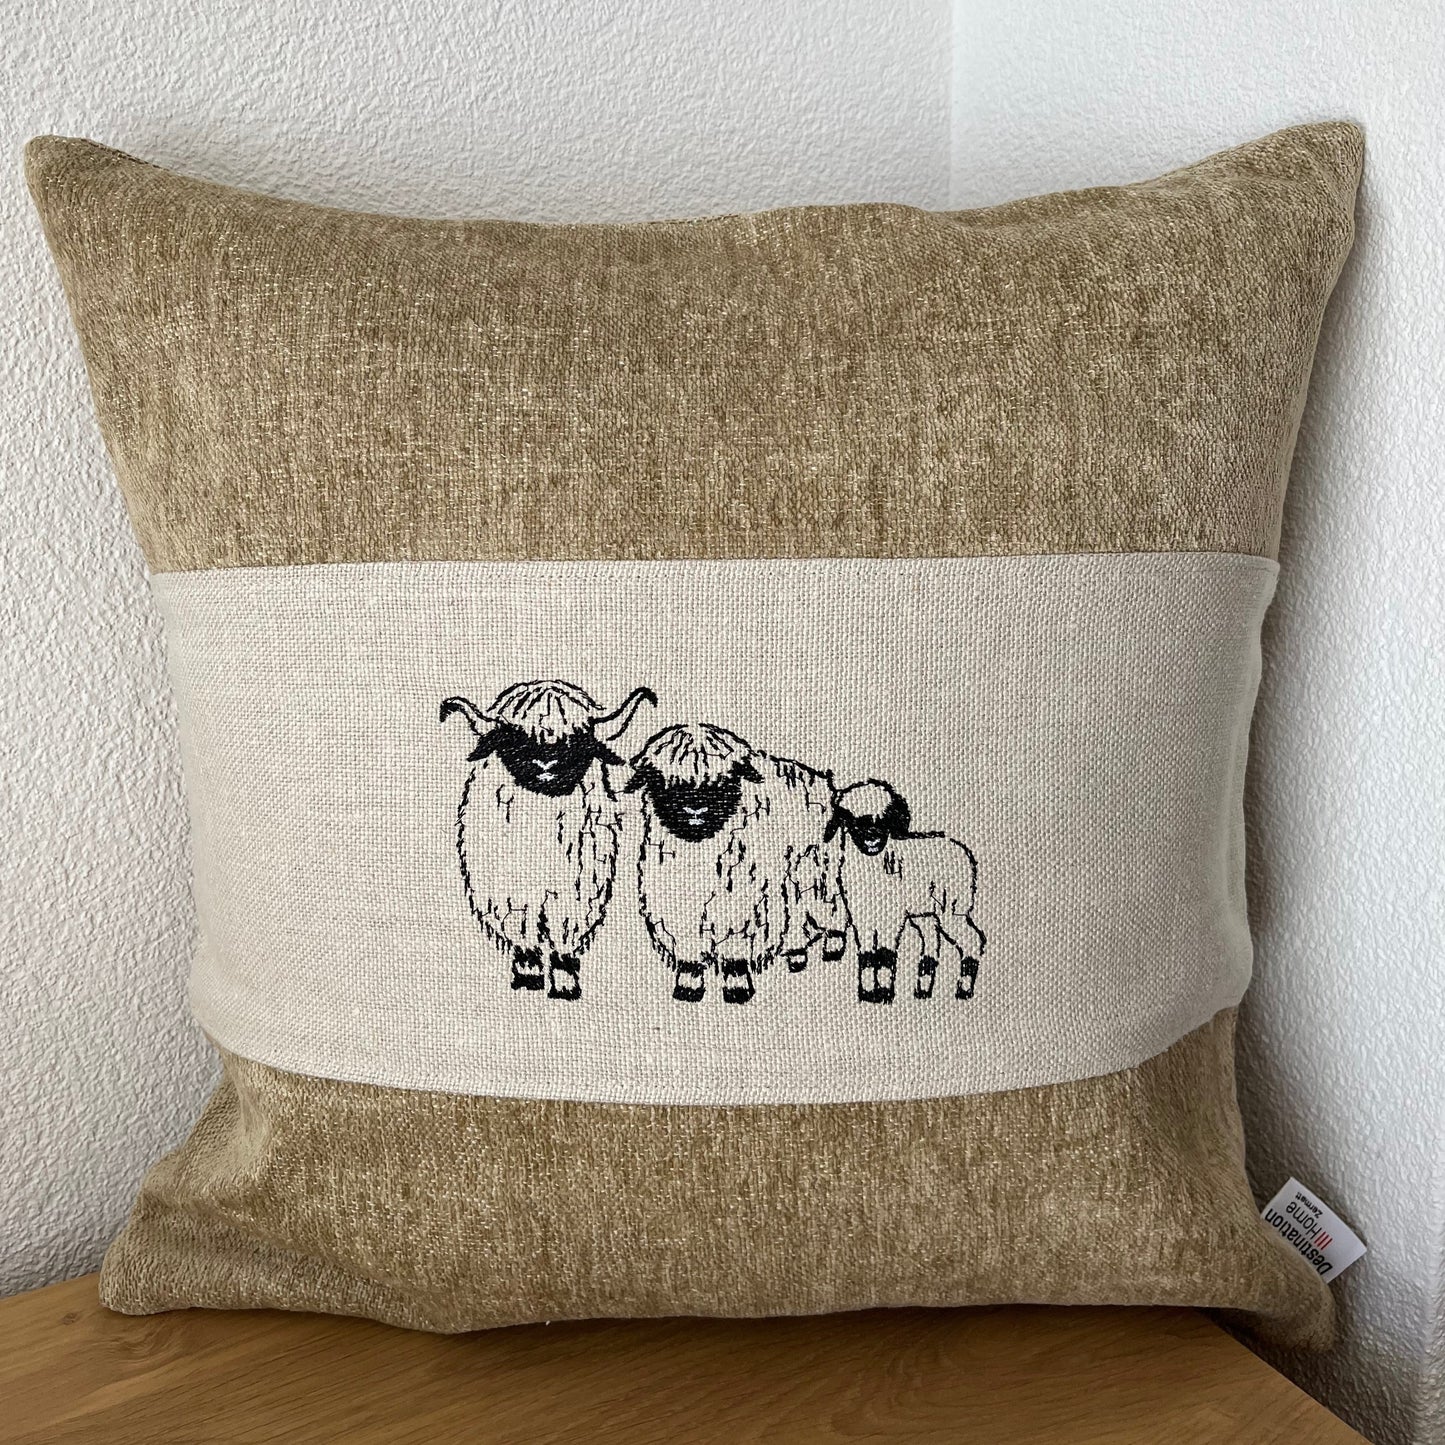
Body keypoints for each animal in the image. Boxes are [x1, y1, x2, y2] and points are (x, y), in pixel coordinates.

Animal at [440, 680, 656, 1000]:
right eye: (514, 739)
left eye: (576, 739)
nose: (546, 763)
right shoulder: (510, 897)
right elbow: (524, 937)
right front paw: (527, 977)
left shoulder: (576, 894)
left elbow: (563, 939)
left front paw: (565, 986)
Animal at [626, 723, 843, 1003]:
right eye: (662, 781)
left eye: (725, 779)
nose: (695, 809)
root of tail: (821, 780)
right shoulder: (677, 905)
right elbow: (689, 953)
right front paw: (688, 985)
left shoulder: (740, 901)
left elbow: (734, 950)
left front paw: (737, 987)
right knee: (794, 912)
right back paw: (796, 955)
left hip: (816, 868)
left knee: (830, 904)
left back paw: (834, 945)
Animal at [825, 780, 985, 1004]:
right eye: (852, 820)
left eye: (886, 817)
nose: (872, 837)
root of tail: (960, 849)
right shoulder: (861, 918)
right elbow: (867, 956)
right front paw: (867, 994)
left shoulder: (892, 917)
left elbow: (885, 954)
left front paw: (883, 993)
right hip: (925, 913)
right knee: (931, 943)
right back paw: (923, 990)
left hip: (953, 907)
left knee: (972, 939)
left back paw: (963, 990)